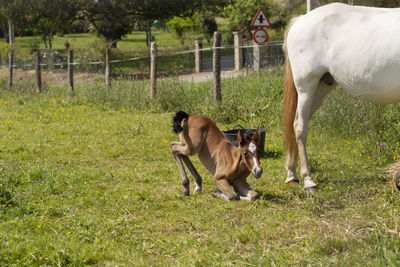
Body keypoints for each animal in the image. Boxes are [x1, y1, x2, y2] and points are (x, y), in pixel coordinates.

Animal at [282, 2, 400, 193]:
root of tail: (300, 20)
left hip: (321, 87)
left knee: (295, 123)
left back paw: (292, 174)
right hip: (307, 86)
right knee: (300, 128)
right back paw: (308, 181)